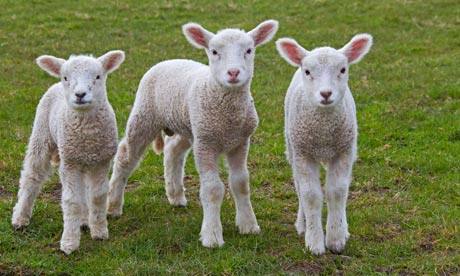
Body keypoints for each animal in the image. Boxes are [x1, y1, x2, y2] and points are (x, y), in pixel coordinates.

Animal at [11, 50, 125, 254]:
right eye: (66, 77)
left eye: (98, 76)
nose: (80, 94)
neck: (87, 135)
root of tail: (55, 85)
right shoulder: (69, 163)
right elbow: (72, 201)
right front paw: (69, 243)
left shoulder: (101, 162)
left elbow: (97, 196)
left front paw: (100, 232)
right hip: (42, 135)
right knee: (32, 176)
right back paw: (20, 218)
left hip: (83, 160)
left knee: (84, 191)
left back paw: (85, 221)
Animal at [107, 20, 278, 247]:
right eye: (214, 51)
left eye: (249, 50)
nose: (233, 73)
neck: (228, 117)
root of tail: (170, 60)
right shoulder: (206, 143)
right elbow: (213, 189)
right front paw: (212, 236)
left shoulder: (240, 142)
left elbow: (241, 183)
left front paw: (249, 225)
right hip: (145, 115)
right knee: (125, 156)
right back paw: (113, 206)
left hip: (188, 127)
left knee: (173, 152)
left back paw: (176, 196)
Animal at [274, 34, 372, 254]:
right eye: (308, 71)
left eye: (343, 69)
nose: (326, 94)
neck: (323, 130)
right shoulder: (303, 153)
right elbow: (310, 195)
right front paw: (314, 242)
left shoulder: (344, 151)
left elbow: (337, 191)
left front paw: (336, 239)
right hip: (292, 147)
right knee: (298, 186)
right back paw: (302, 224)